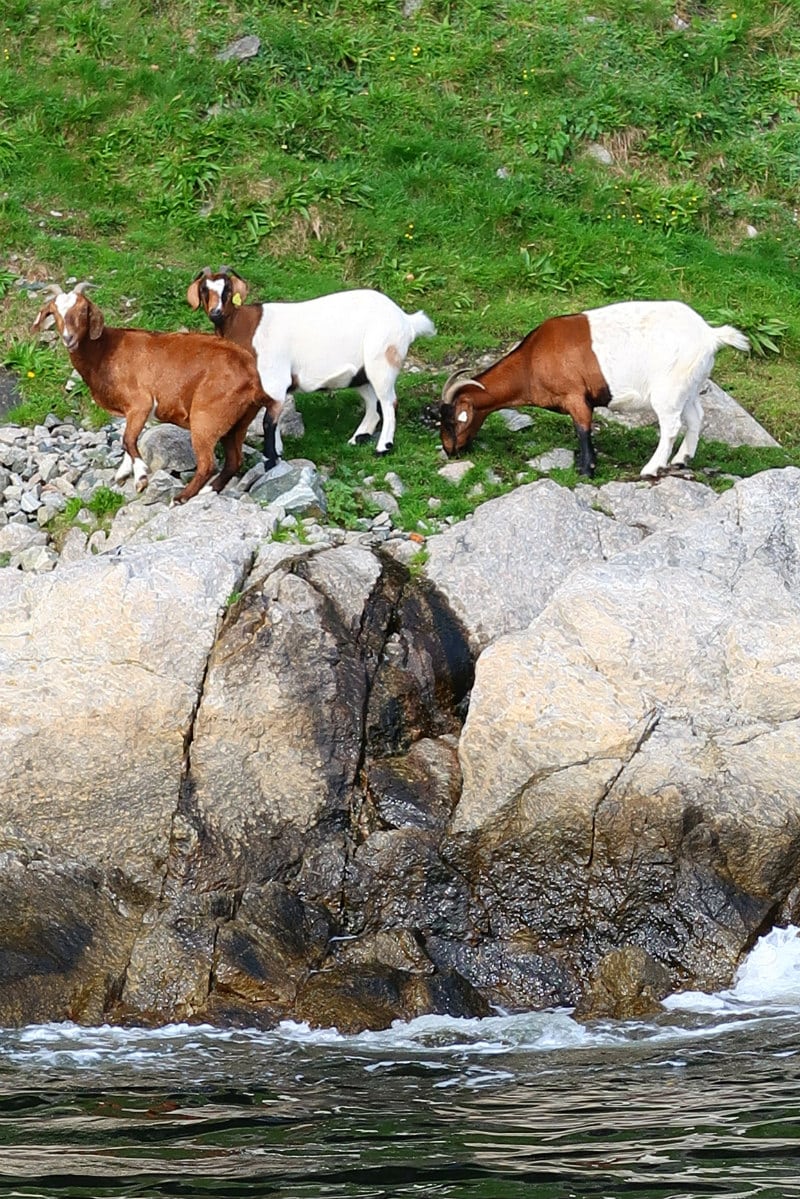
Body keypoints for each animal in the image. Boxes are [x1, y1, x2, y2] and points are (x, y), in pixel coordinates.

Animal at [32, 284, 278, 501]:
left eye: (84, 310)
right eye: (54, 312)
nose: (69, 338)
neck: (105, 350)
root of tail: (252, 376)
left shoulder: (140, 403)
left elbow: (128, 439)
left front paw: (141, 477)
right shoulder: (130, 411)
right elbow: (127, 438)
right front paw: (123, 472)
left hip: (208, 415)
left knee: (208, 463)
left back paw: (181, 497)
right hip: (237, 421)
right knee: (234, 460)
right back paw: (208, 491)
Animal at [438, 299, 753, 477]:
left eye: (451, 419)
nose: (449, 450)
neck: (530, 362)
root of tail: (709, 335)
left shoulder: (575, 396)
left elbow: (582, 429)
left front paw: (586, 469)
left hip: (669, 387)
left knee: (671, 426)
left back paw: (651, 469)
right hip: (689, 385)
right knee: (695, 417)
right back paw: (681, 461)